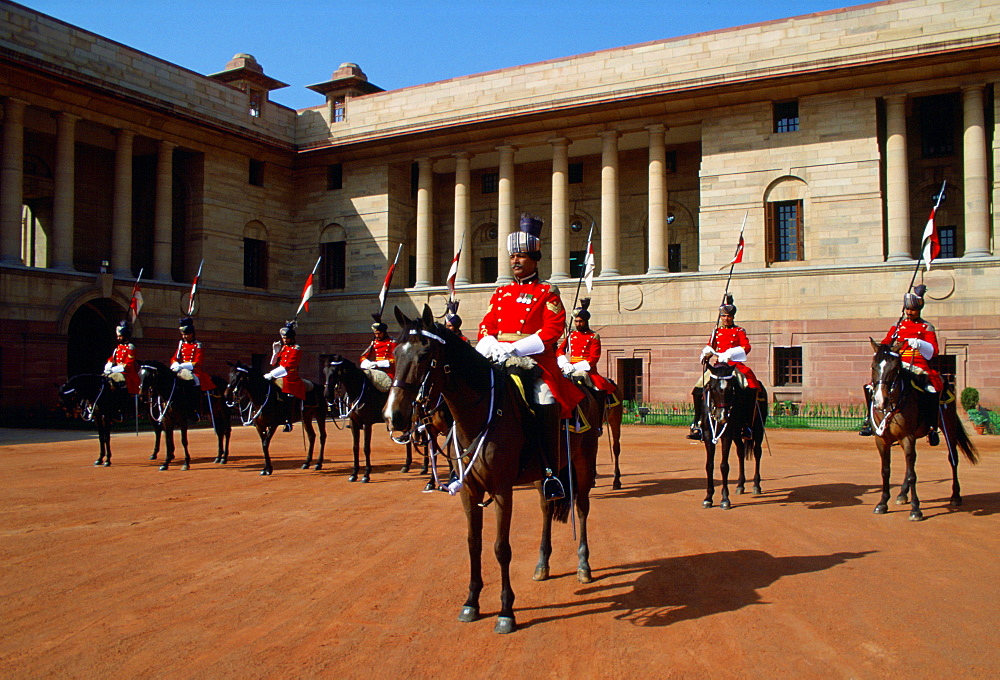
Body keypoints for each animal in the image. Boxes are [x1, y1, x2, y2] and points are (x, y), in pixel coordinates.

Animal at [384, 306, 600, 636]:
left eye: (425, 355)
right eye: (395, 354)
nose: (393, 415)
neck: (478, 414)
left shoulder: (501, 490)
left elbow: (501, 547)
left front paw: (506, 611)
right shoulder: (469, 490)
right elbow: (474, 544)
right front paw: (471, 602)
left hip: (584, 462)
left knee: (583, 507)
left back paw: (583, 566)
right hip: (544, 472)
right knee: (546, 507)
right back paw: (542, 564)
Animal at [696, 364, 764, 508]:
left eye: (730, 389)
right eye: (712, 388)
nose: (722, 417)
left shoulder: (726, 435)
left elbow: (724, 466)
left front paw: (725, 499)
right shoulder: (708, 435)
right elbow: (709, 465)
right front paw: (708, 498)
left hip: (758, 429)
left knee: (757, 452)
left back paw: (756, 485)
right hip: (737, 434)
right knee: (740, 452)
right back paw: (740, 485)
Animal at [868, 340, 976, 520]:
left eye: (895, 368)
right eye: (873, 366)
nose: (880, 401)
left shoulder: (907, 436)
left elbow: (913, 474)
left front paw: (915, 509)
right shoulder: (882, 440)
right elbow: (886, 471)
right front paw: (882, 503)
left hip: (948, 425)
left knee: (952, 458)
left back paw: (955, 496)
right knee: (910, 463)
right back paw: (902, 494)